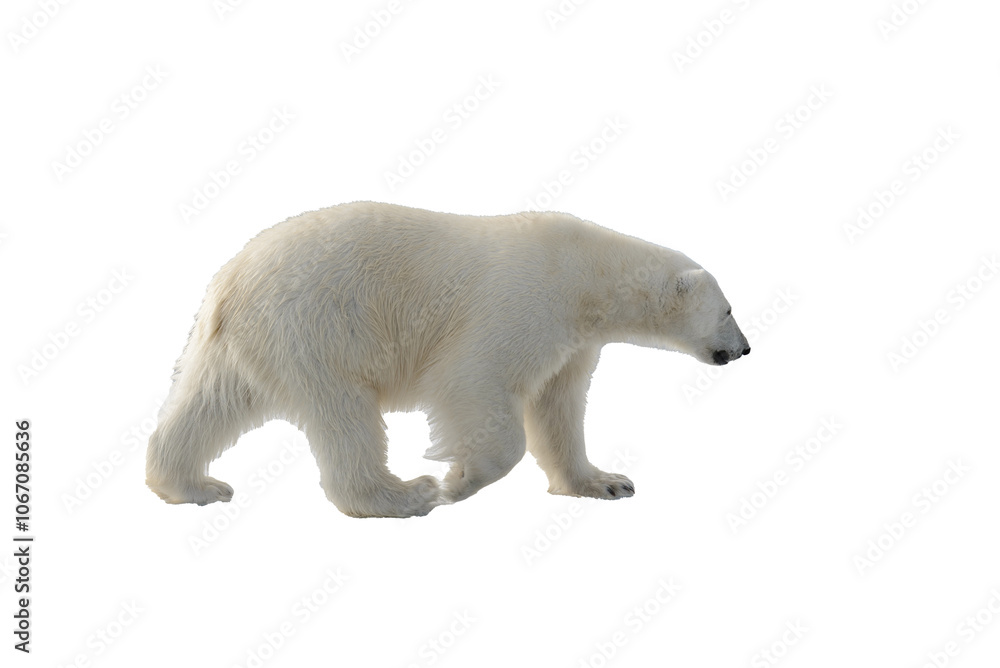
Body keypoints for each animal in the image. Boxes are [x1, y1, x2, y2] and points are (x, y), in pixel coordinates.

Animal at [146, 201, 749, 518]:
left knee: (208, 404)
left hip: (242, 342)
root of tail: (231, 276)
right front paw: (456, 481)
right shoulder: (523, 302)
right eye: (728, 309)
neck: (586, 273)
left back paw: (194, 486)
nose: (744, 348)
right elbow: (475, 383)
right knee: (345, 415)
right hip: (317, 326)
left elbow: (559, 407)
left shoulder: (575, 341)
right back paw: (404, 494)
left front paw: (607, 482)